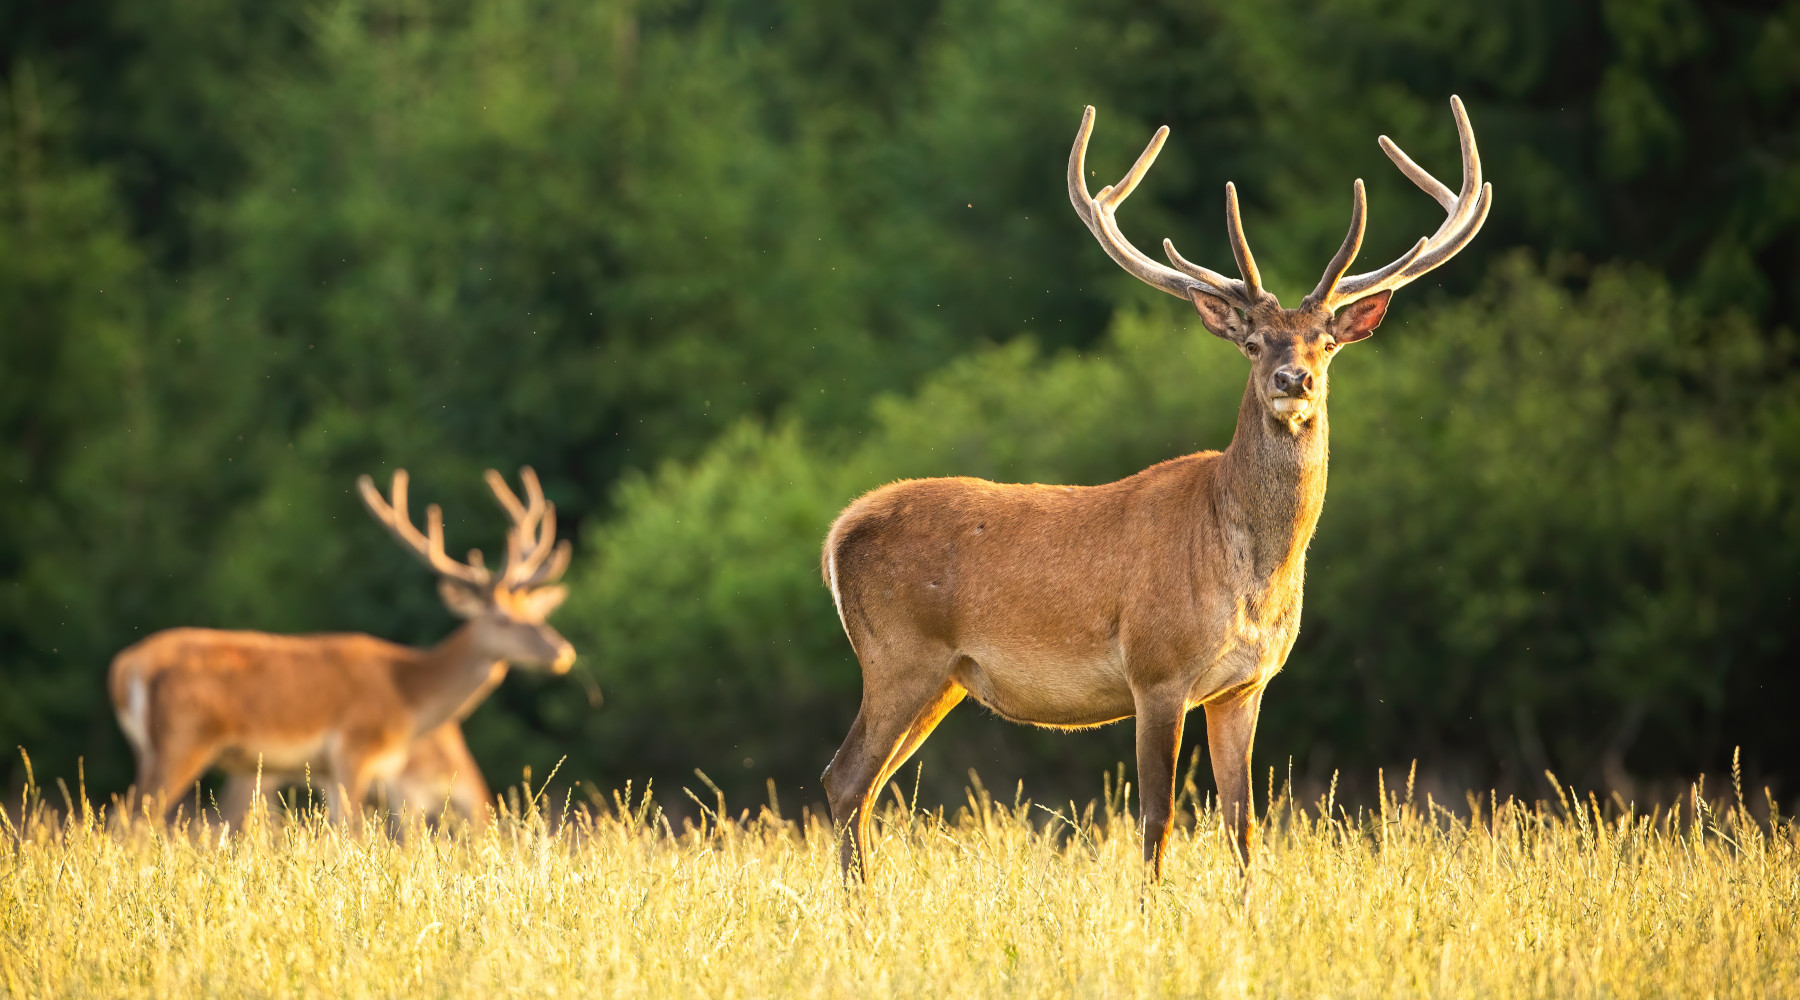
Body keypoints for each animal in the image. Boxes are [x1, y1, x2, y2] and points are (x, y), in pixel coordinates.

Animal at [110, 466, 576, 825]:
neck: (409, 696)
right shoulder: (356, 748)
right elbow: (352, 831)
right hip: (182, 738)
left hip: (159, 750)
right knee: (132, 820)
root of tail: (124, 670)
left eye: (537, 614)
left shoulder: (328, 769)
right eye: (504, 619)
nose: (563, 654)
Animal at [820, 96, 1490, 881]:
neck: (1249, 575)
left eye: (1326, 341)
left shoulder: (1246, 685)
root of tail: (839, 532)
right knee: (845, 778)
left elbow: (1243, 823)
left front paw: (1246, 904)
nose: (1294, 380)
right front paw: (1149, 905)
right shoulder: (1156, 669)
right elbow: (1157, 819)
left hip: (945, 677)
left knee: (865, 785)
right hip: (899, 656)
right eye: (1253, 342)